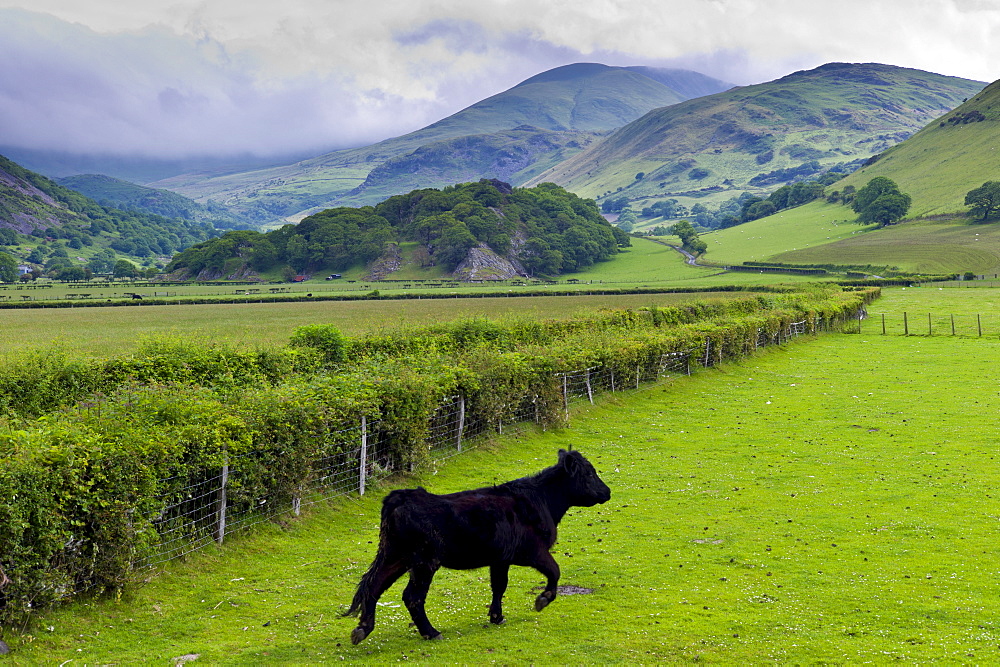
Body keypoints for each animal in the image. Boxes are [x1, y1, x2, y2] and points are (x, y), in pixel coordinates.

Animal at [344, 452, 608, 644]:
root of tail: (401, 497)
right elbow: (554, 571)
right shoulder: (532, 551)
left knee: (373, 586)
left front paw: (497, 616)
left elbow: (499, 586)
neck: (540, 500)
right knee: (412, 597)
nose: (607, 491)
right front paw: (543, 599)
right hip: (424, 562)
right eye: (589, 473)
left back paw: (363, 629)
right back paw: (431, 632)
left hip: (396, 557)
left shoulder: (500, 558)